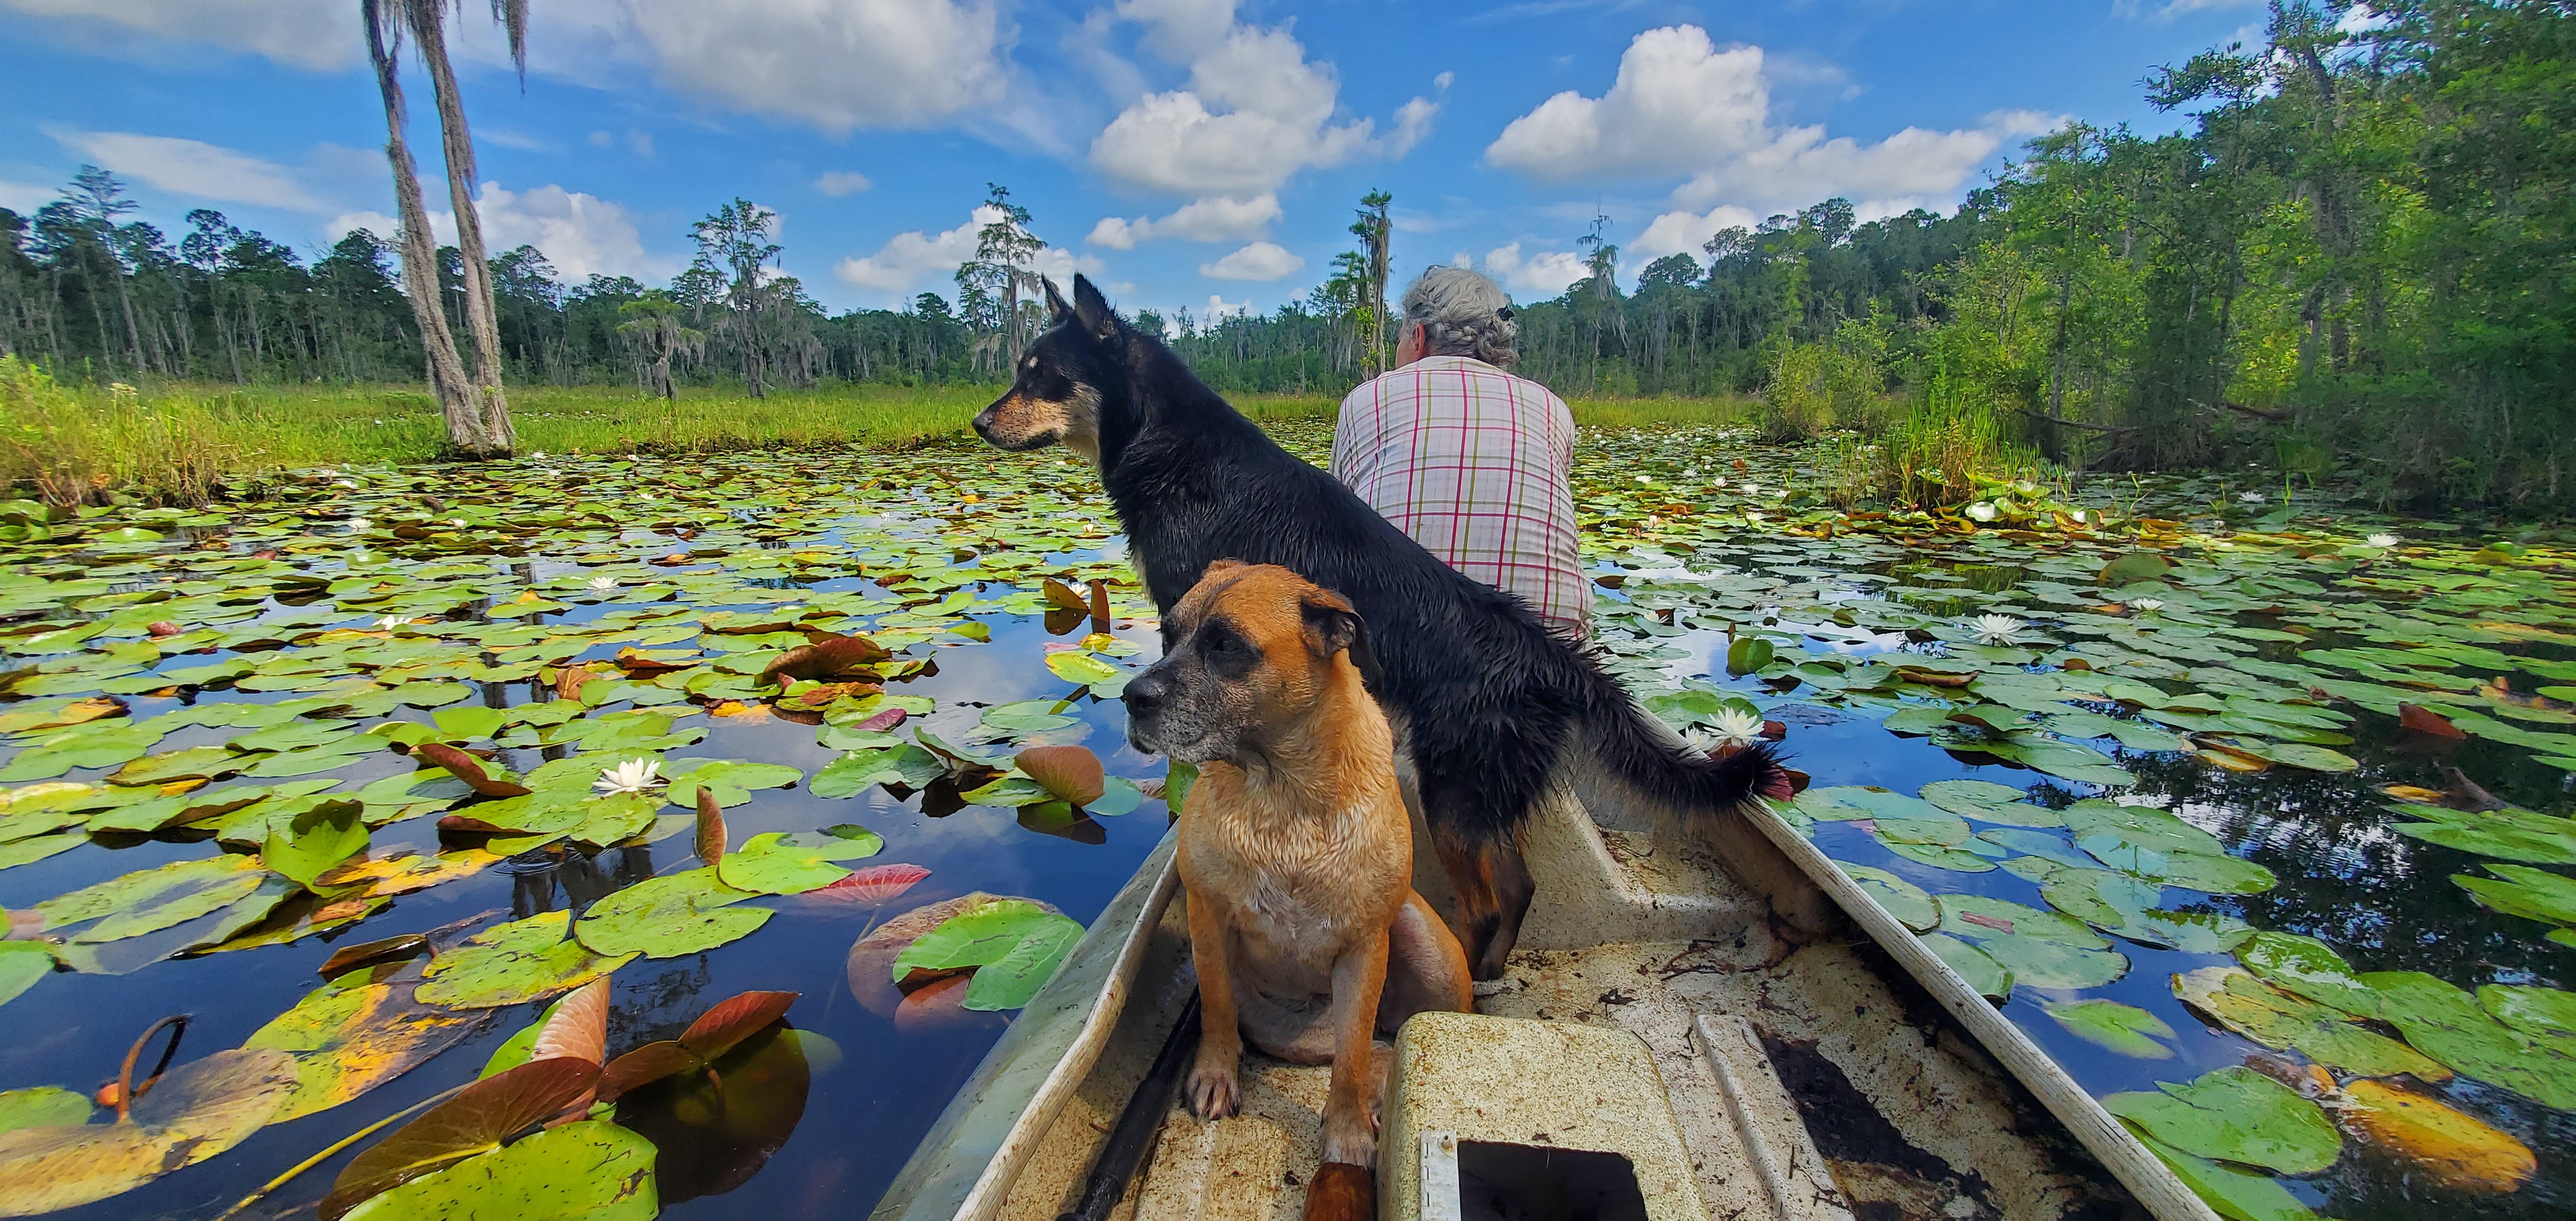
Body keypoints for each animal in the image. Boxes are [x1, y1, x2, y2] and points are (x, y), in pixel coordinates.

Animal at [973, 277, 1782, 984]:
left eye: (1043, 377)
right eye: (1020, 372)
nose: (978, 423)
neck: (1168, 443)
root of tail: (1550, 659)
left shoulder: (1190, 621)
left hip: (1453, 791)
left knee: (1496, 899)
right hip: (1482, 793)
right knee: (1520, 887)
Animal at [1123, 561, 1473, 1164]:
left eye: (1225, 645)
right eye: (1168, 635)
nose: (1132, 695)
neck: (1282, 790)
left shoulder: (1364, 947)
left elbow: (1352, 1059)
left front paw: (1348, 1131)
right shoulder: (1208, 917)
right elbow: (1216, 1007)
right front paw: (1215, 1074)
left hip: (1429, 952)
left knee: (1378, 1046)